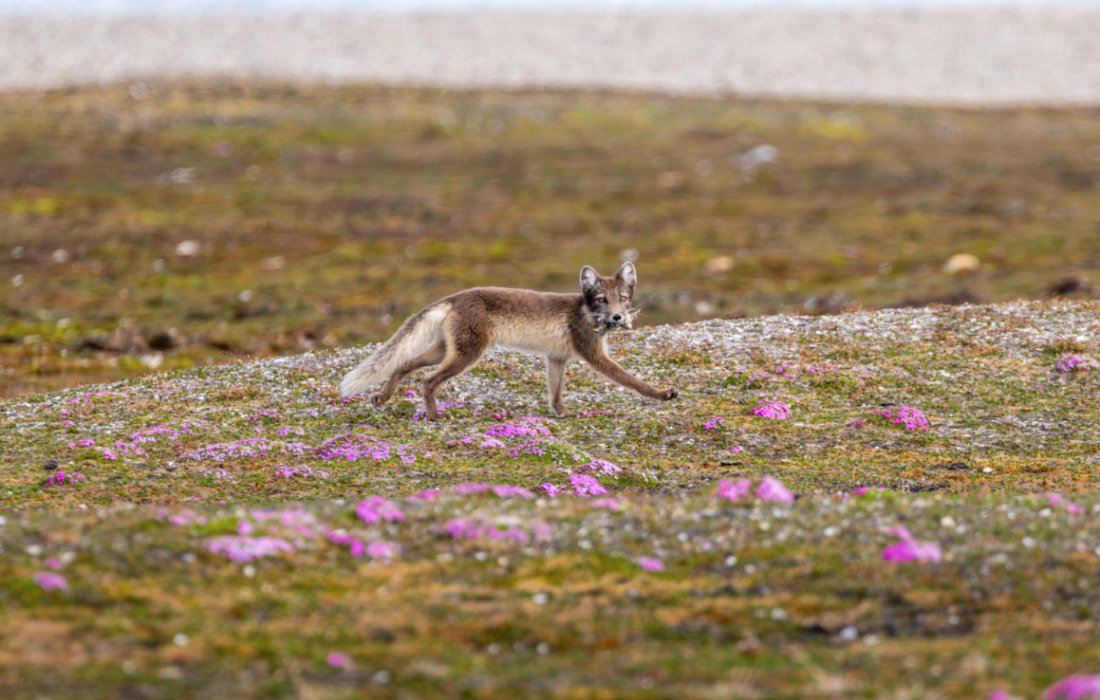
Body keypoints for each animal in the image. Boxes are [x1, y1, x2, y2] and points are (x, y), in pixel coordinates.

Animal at [339, 262, 679, 419]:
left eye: (623, 298)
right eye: (601, 300)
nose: (619, 318)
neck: (583, 311)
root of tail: (455, 297)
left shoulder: (556, 358)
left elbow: (555, 392)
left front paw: (563, 414)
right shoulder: (593, 355)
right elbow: (632, 381)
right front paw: (662, 394)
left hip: (445, 350)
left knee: (403, 364)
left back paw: (382, 397)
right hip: (466, 355)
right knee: (427, 380)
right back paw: (435, 416)